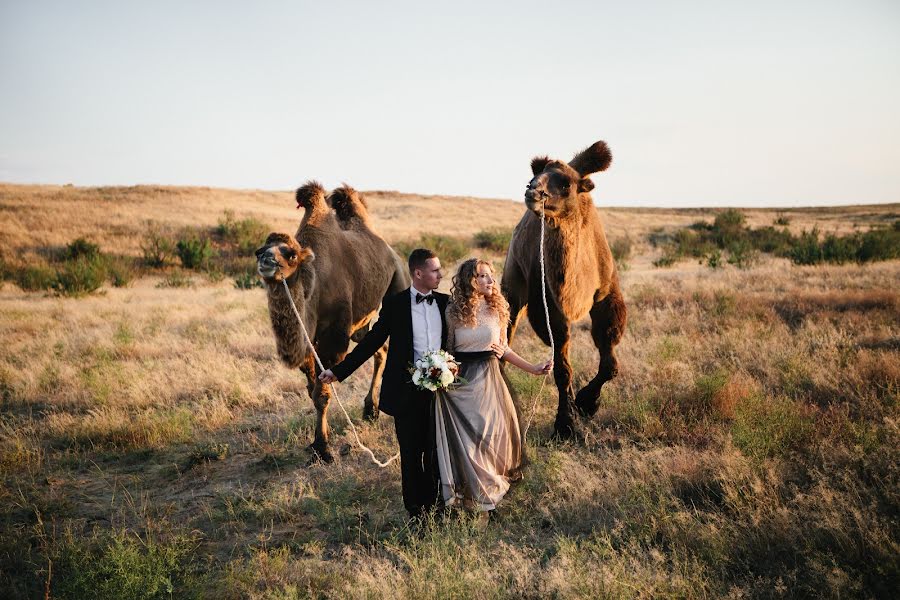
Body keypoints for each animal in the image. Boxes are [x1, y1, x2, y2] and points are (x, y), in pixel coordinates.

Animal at [253, 180, 408, 462]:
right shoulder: (308, 341)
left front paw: (323, 449)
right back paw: (370, 411)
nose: (266, 261)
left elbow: (323, 393)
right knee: (378, 347)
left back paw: (373, 410)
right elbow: (311, 390)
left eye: (290, 254)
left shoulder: (335, 336)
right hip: (361, 322)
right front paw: (317, 443)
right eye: (259, 250)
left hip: (398, 281)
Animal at [500, 142, 624, 438]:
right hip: (513, 286)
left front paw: (587, 404)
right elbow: (562, 368)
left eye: (566, 184)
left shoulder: (606, 295)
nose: (533, 190)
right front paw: (566, 424)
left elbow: (610, 364)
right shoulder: (550, 304)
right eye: (535, 175)